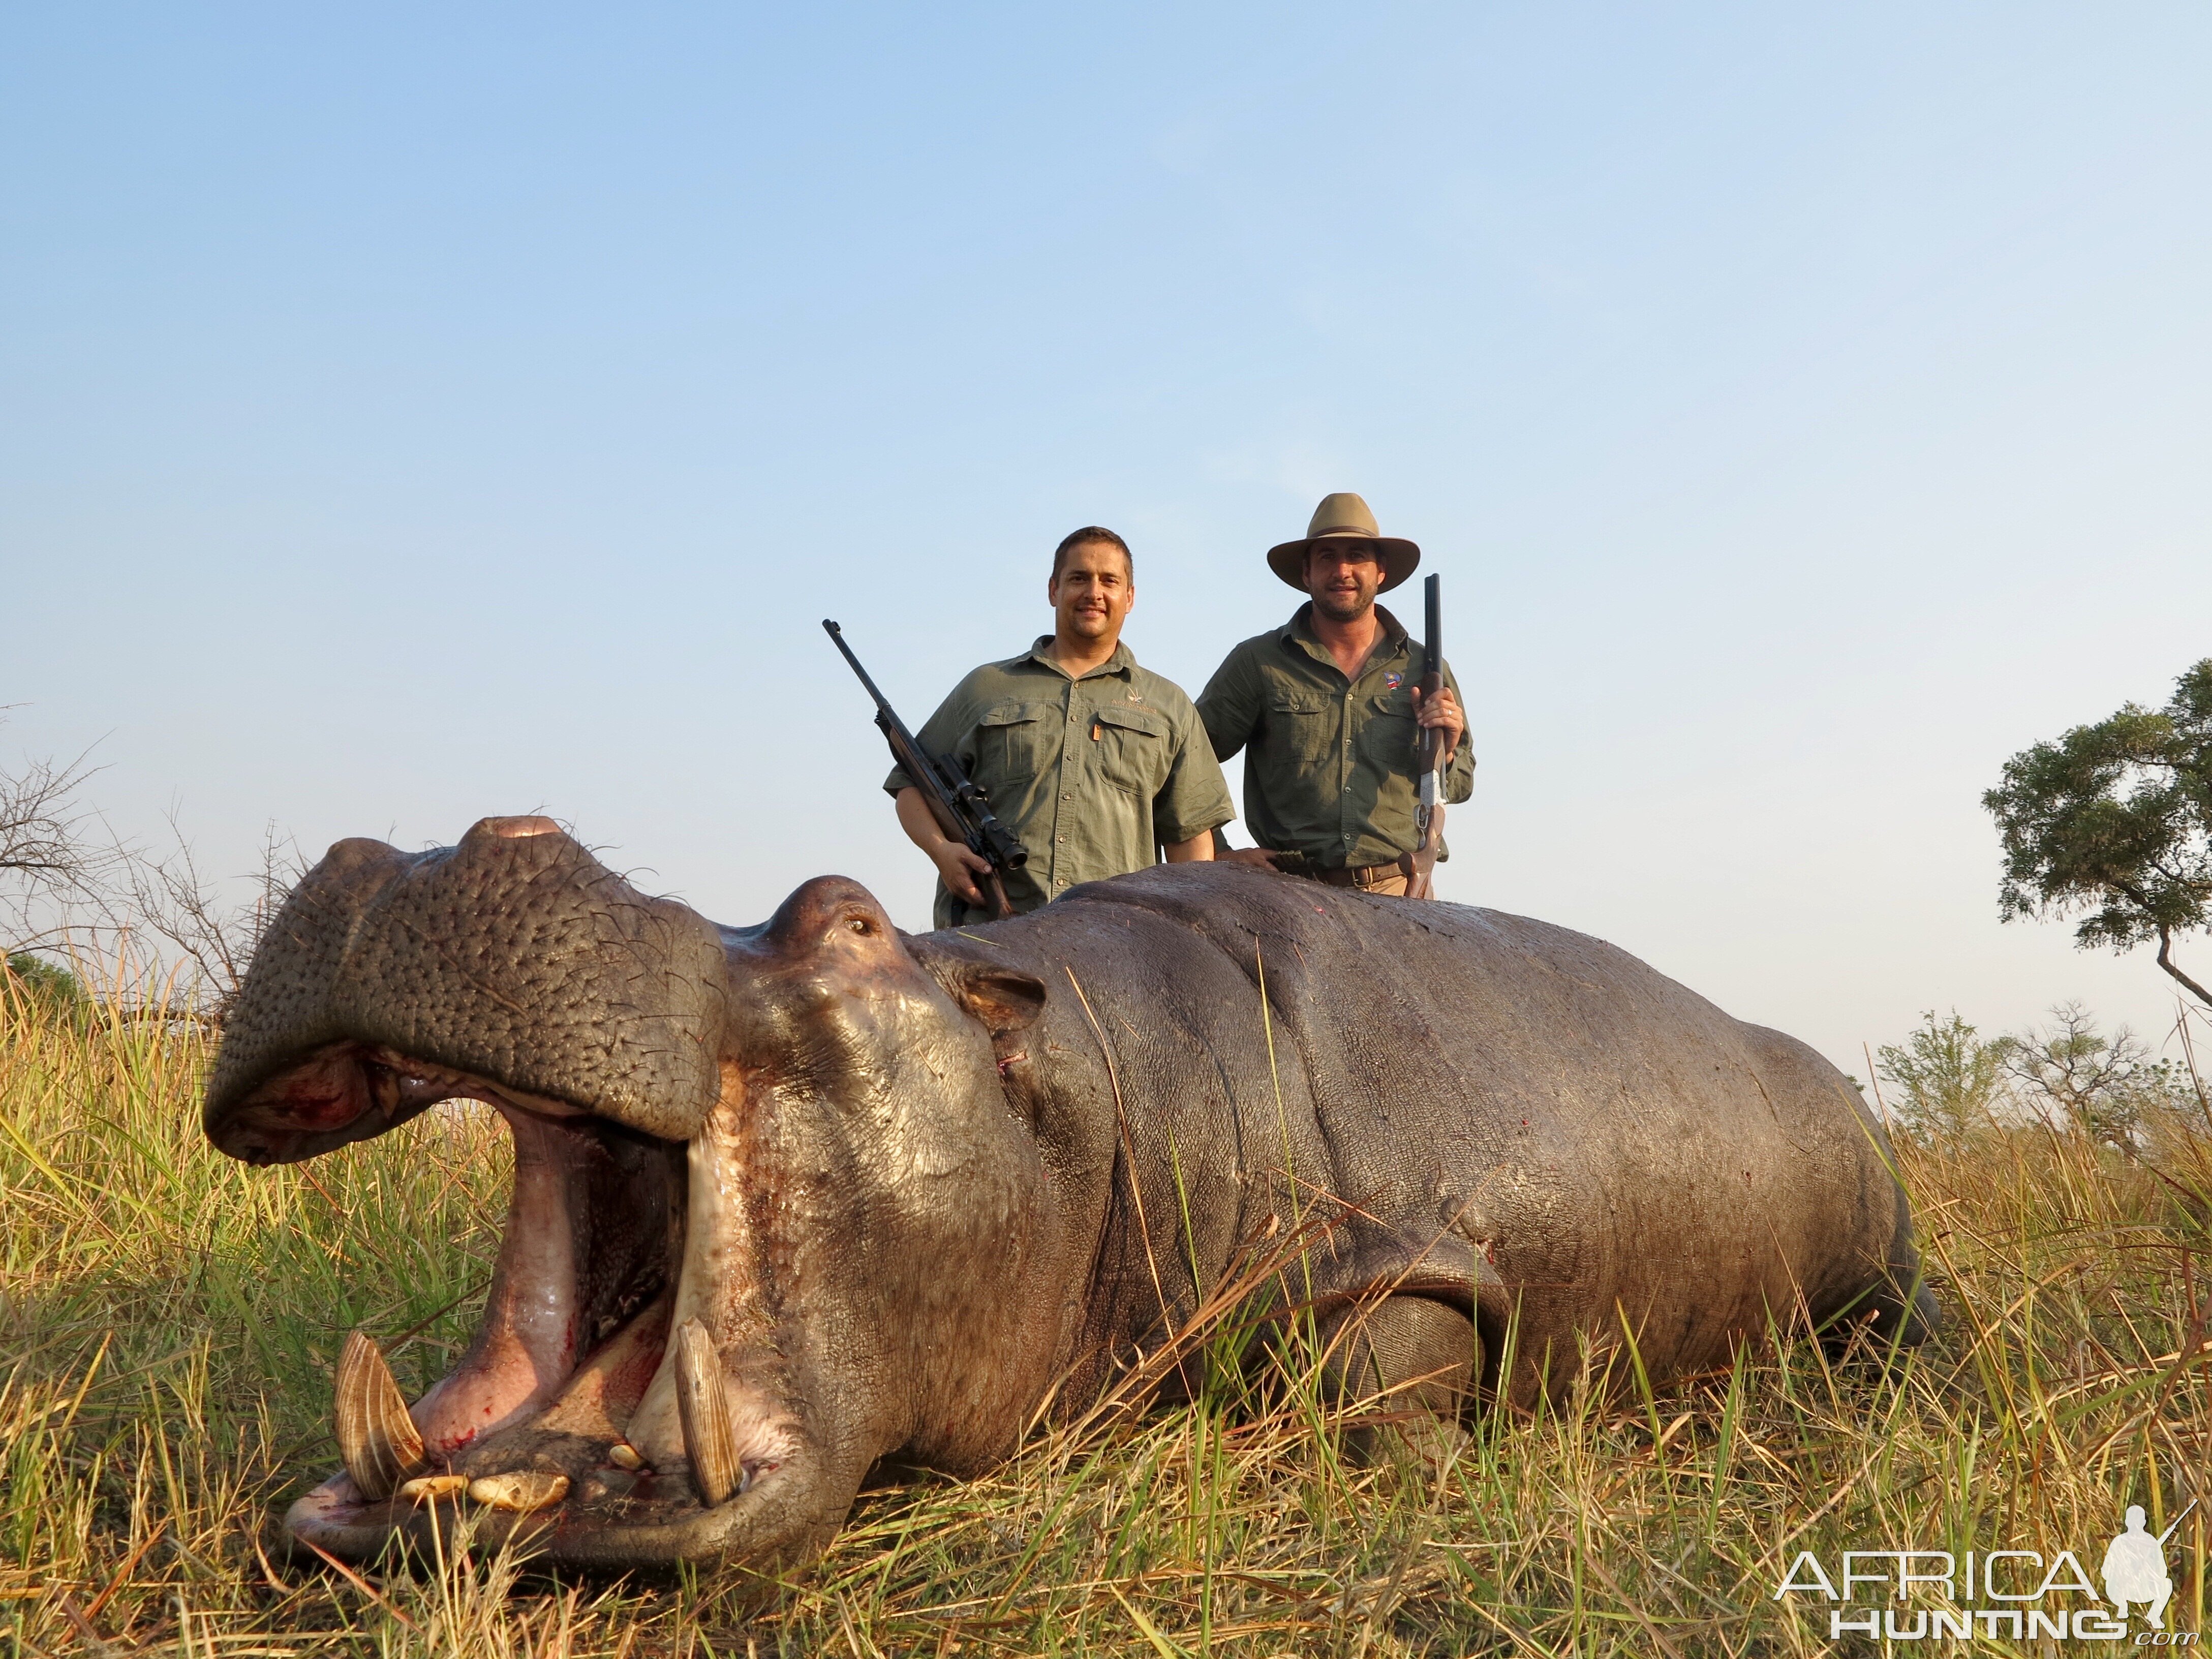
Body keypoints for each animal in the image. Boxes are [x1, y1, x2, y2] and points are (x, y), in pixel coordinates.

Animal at [208, 818, 1938, 1575]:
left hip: (1883, 1249)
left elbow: (1385, 1375)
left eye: (846, 917)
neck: (1079, 1079)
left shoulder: (1388, 1260)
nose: (439, 847)